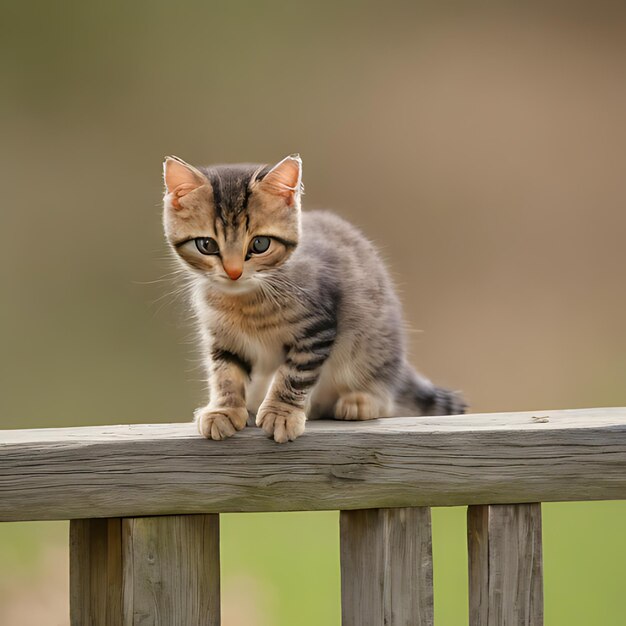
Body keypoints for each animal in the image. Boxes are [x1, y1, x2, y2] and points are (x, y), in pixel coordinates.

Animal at [161, 154, 464, 442]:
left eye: (260, 244)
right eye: (207, 245)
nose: (233, 272)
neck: (245, 301)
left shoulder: (316, 328)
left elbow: (293, 375)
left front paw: (281, 413)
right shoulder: (222, 337)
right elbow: (225, 373)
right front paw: (225, 410)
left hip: (374, 346)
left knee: (383, 394)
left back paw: (360, 401)